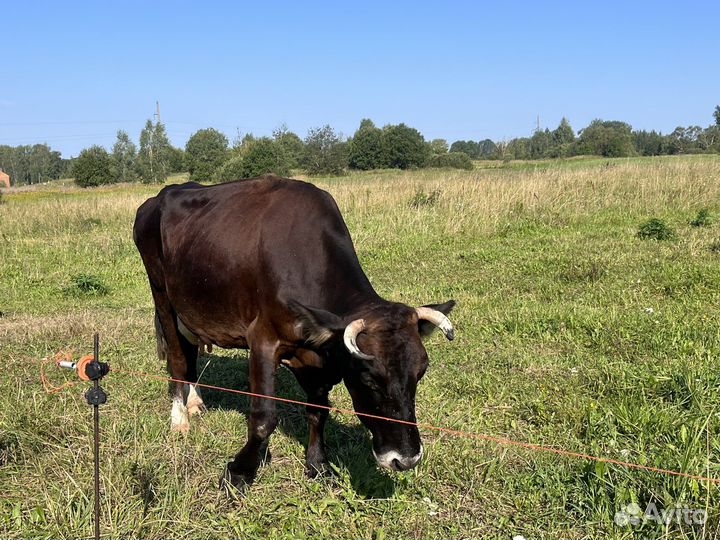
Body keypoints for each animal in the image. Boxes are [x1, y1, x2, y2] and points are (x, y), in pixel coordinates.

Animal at [133, 175, 455, 492]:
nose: (406, 458)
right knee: (178, 357)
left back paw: (195, 401)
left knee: (191, 350)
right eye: (368, 378)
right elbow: (263, 418)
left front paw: (318, 463)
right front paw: (239, 472)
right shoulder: (262, 339)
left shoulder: (317, 355)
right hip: (162, 293)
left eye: (420, 373)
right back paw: (179, 418)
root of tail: (164, 193)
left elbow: (319, 410)